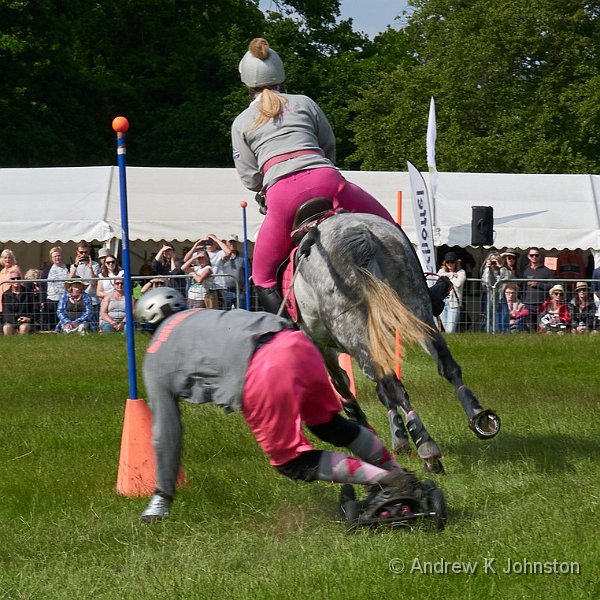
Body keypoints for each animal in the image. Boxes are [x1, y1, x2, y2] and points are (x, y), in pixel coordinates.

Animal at [292, 213, 502, 472]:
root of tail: (358, 234)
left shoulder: (320, 344)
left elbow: (341, 381)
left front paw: (368, 426)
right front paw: (398, 436)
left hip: (352, 328)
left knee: (392, 384)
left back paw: (426, 446)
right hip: (417, 307)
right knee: (447, 365)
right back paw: (478, 416)